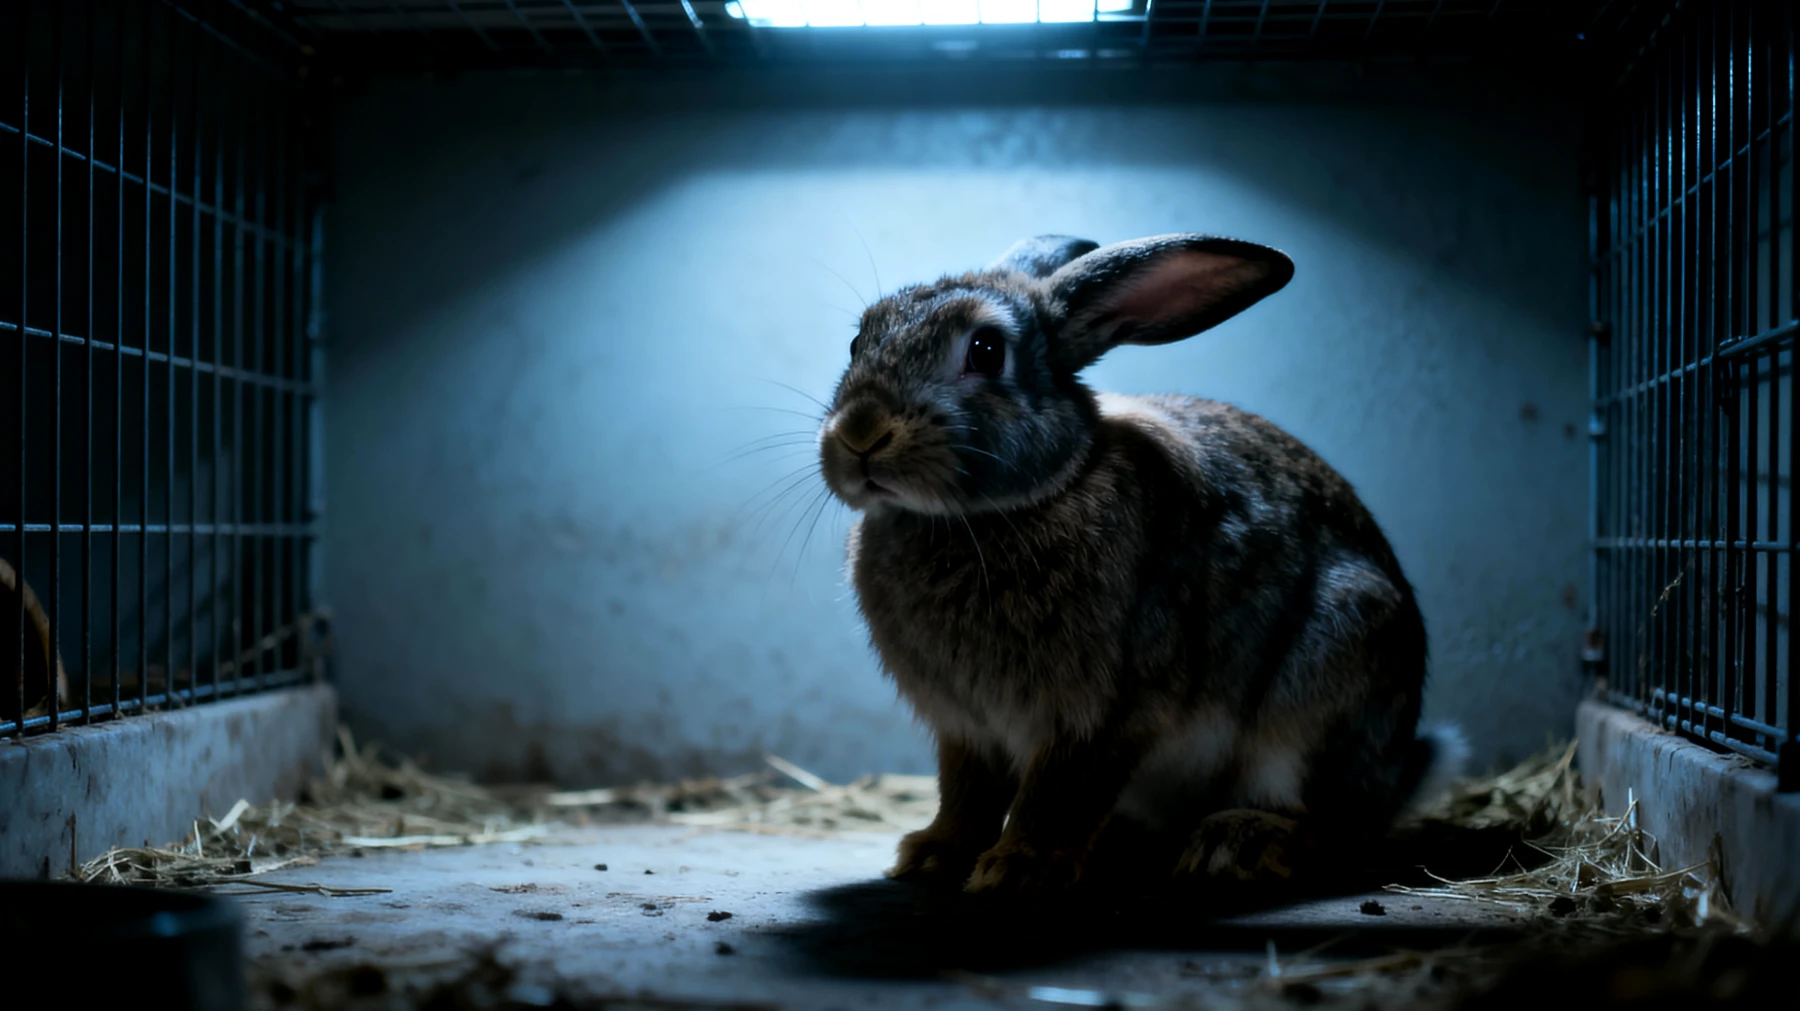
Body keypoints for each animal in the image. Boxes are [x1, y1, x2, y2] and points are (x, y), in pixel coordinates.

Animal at [815, 232, 1467, 895]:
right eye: (858, 340)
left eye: (987, 350)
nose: (861, 432)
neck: (987, 515)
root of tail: (1393, 779)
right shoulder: (967, 728)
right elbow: (966, 795)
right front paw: (931, 857)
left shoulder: (1105, 713)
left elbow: (1056, 795)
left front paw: (1017, 868)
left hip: (1325, 687)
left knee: (1320, 821)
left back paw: (1236, 844)